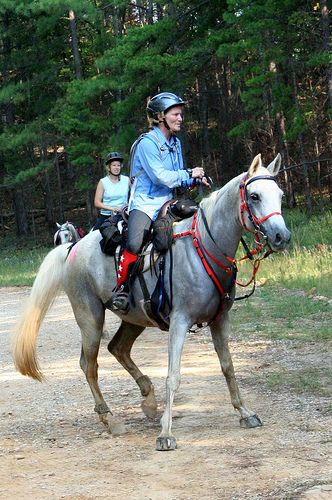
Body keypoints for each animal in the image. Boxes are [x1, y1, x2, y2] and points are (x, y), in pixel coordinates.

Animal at [13, 152, 290, 450]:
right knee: (89, 365)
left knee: (118, 348)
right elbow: (173, 375)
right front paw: (166, 434)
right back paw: (110, 418)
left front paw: (244, 412)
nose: (281, 236)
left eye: (280, 195)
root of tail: (72, 247)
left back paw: (148, 399)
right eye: (254, 196)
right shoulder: (180, 321)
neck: (204, 247)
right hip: (90, 318)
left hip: (134, 318)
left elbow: (228, 366)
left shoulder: (220, 319)